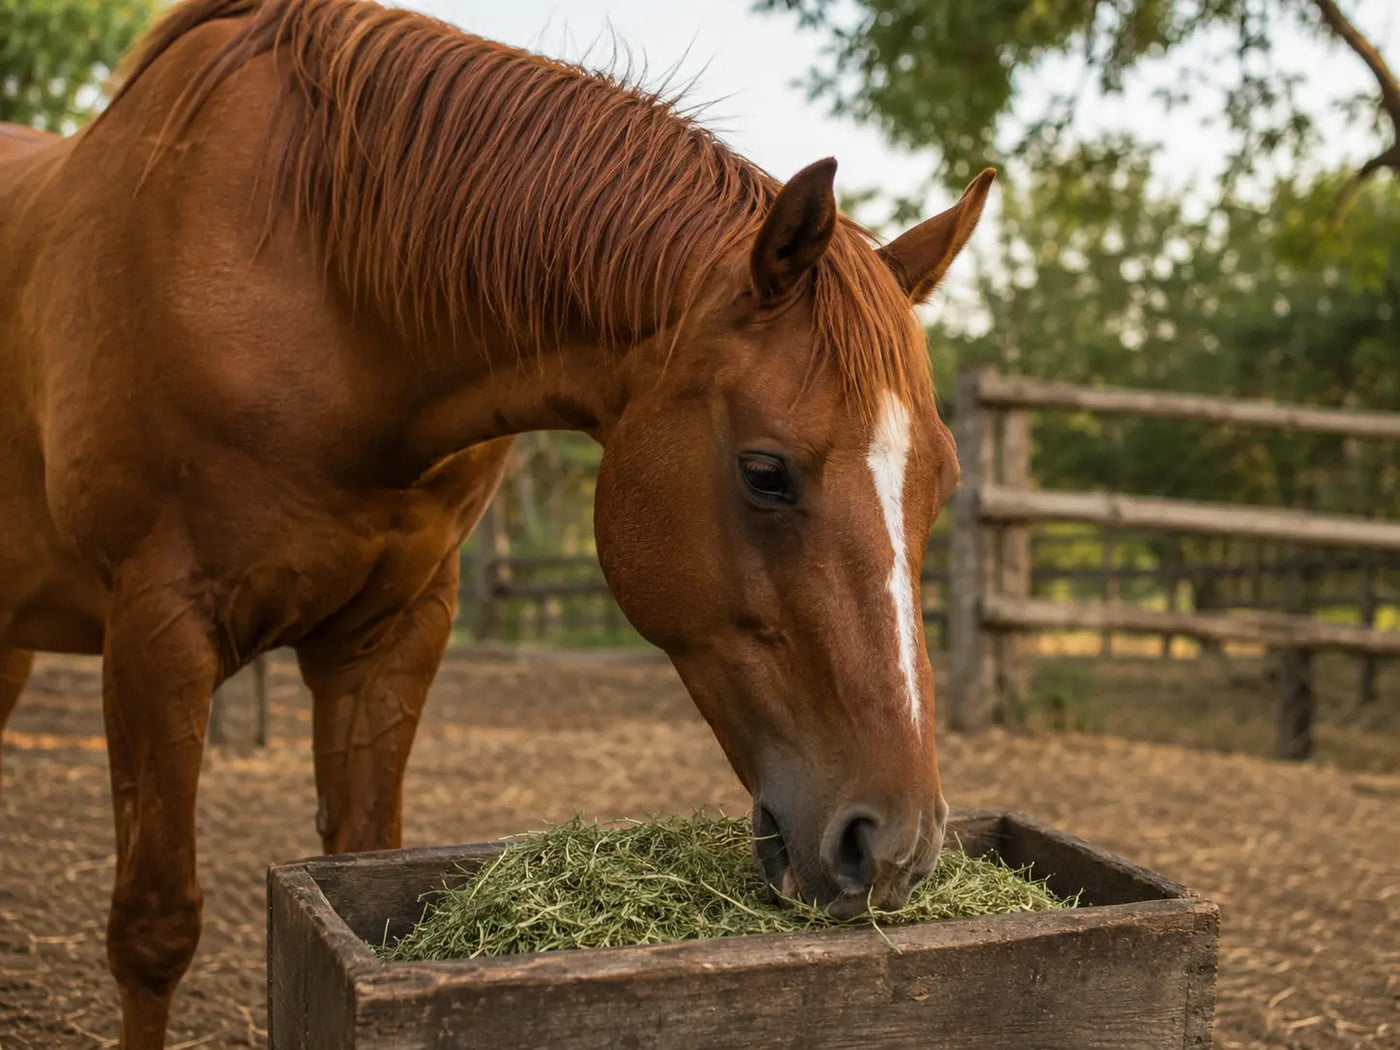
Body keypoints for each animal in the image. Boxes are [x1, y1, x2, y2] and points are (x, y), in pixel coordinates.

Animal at [0, 0, 992, 1043]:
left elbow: (362, 851)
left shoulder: (389, 638)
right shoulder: (157, 634)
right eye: (764, 472)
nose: (895, 846)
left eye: (942, 481)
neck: (315, 284)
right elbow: (153, 929)